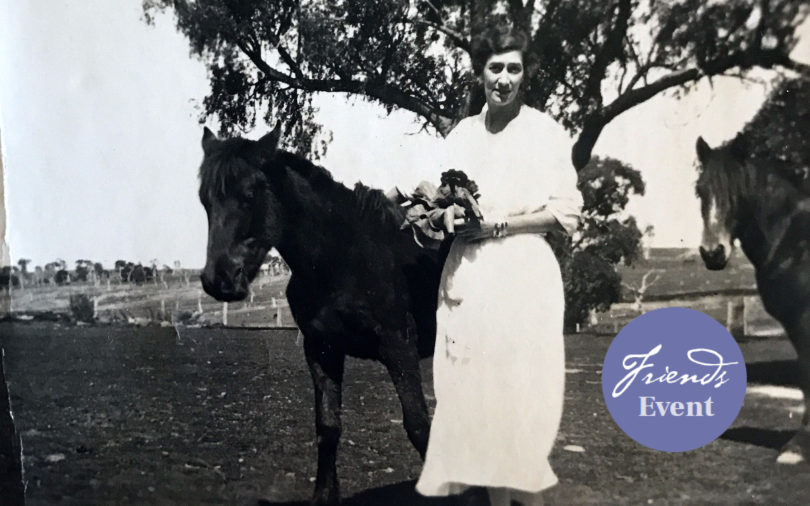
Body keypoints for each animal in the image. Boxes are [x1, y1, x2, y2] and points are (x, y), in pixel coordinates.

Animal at [198, 124, 446, 504]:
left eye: (249, 194)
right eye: (204, 199)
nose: (219, 279)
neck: (343, 258)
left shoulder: (399, 347)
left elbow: (419, 426)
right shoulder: (322, 348)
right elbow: (327, 426)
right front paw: (325, 494)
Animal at [696, 134, 808, 462]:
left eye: (737, 190)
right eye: (700, 190)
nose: (713, 253)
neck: (795, 242)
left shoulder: (802, 320)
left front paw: (797, 449)